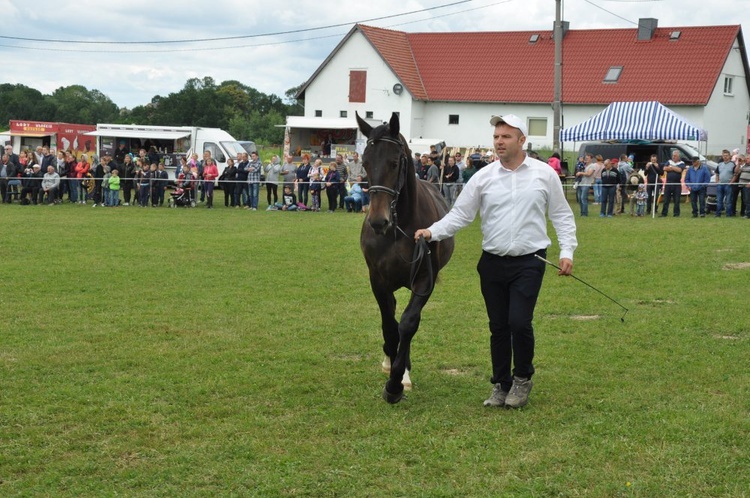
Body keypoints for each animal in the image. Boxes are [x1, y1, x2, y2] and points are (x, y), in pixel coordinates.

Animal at [358, 111, 458, 402]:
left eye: (394, 163)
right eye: (365, 163)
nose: (378, 221)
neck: (397, 228)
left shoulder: (424, 279)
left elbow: (408, 324)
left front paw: (396, 383)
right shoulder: (377, 280)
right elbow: (390, 326)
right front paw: (392, 371)